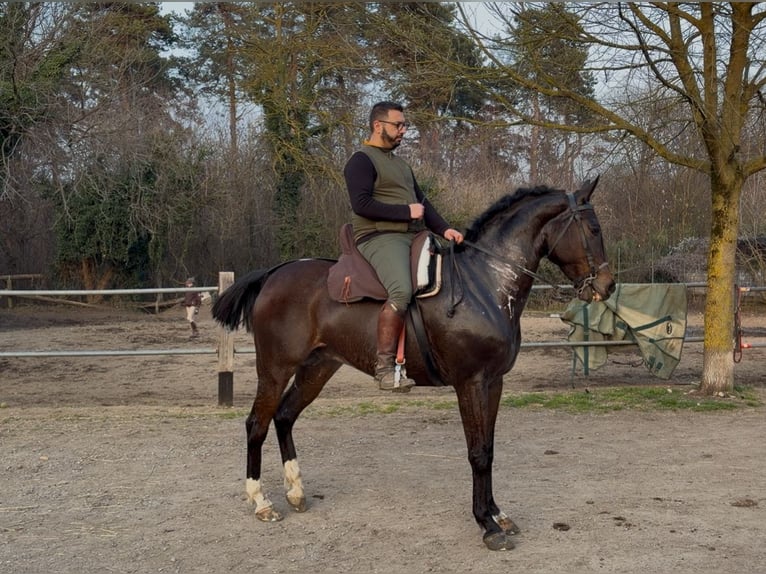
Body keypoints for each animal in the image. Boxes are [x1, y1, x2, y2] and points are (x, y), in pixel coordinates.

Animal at [212, 178, 615, 551]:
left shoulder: (494, 382)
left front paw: (498, 514)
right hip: (275, 369)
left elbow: (489, 448)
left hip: (317, 368)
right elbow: (477, 453)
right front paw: (487, 525)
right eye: (594, 229)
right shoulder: (470, 383)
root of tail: (273, 274)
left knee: (284, 417)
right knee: (256, 425)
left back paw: (295, 492)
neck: (485, 283)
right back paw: (261, 502)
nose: (608, 286)